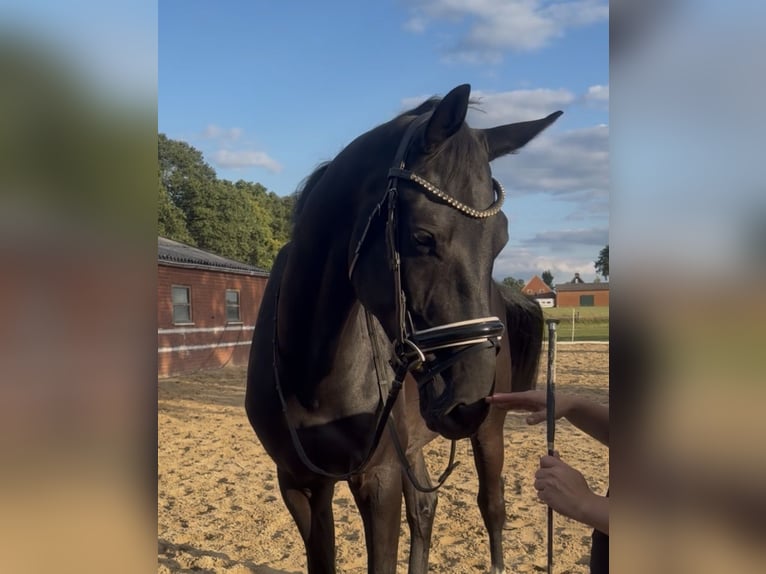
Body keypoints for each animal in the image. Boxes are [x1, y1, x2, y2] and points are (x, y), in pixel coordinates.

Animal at [245, 84, 562, 573]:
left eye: (501, 240)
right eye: (421, 237)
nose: (468, 400)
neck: (310, 369)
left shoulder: (380, 479)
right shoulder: (299, 484)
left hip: (487, 432)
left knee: (491, 507)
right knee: (426, 510)